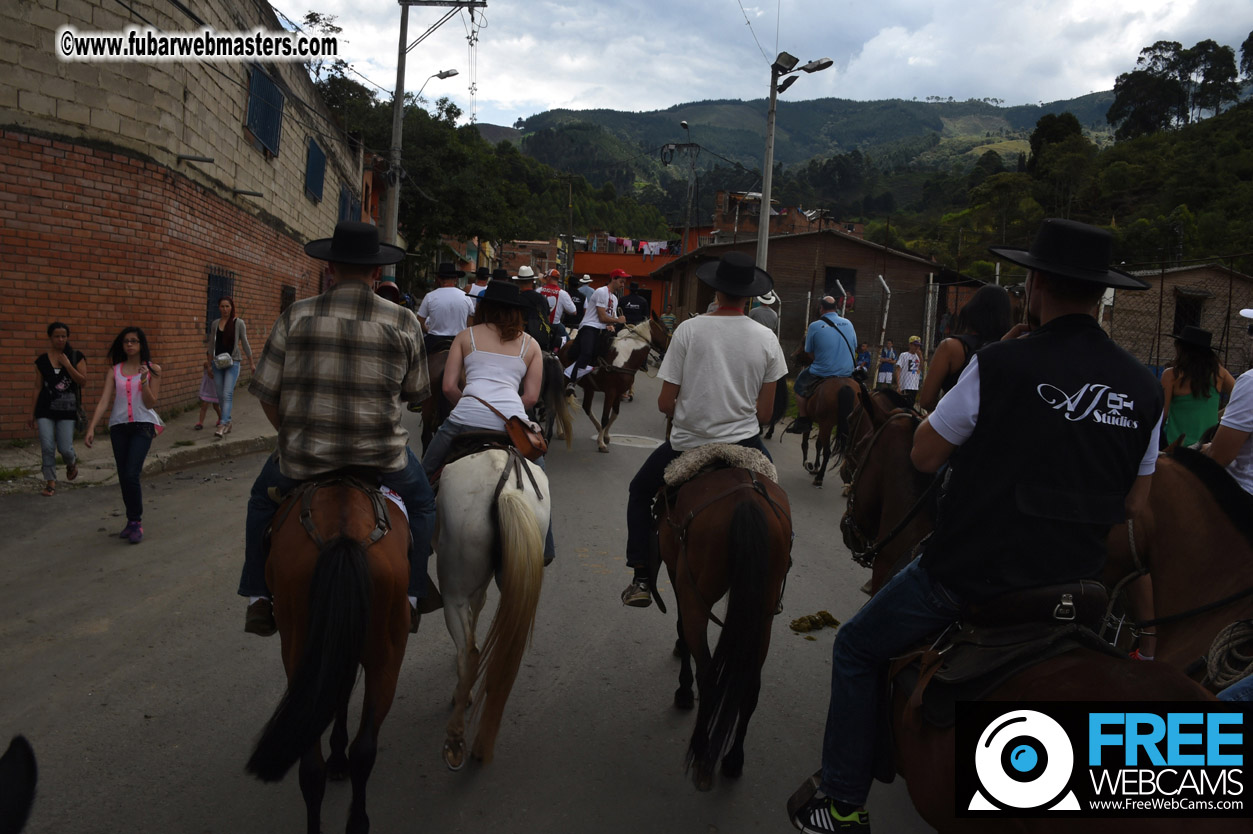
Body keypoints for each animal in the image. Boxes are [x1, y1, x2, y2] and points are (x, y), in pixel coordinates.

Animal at [240, 473, 405, 831]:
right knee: (359, 751)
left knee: (316, 764)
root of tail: (343, 536)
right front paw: (339, 757)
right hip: (383, 653)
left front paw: (337, 755)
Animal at [561, 315, 671, 450]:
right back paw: (561, 431)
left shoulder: (618, 392)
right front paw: (601, 443)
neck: (626, 358)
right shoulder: (610, 392)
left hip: (589, 387)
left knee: (586, 407)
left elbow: (615, 414)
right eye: (666, 329)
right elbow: (605, 417)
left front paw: (606, 436)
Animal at [651, 458, 786, 791]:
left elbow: (681, 629)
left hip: (696, 595)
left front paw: (683, 689)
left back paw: (701, 750)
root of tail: (747, 501)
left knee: (709, 674)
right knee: (750, 684)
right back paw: (733, 760)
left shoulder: (678, 577)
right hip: (763, 614)